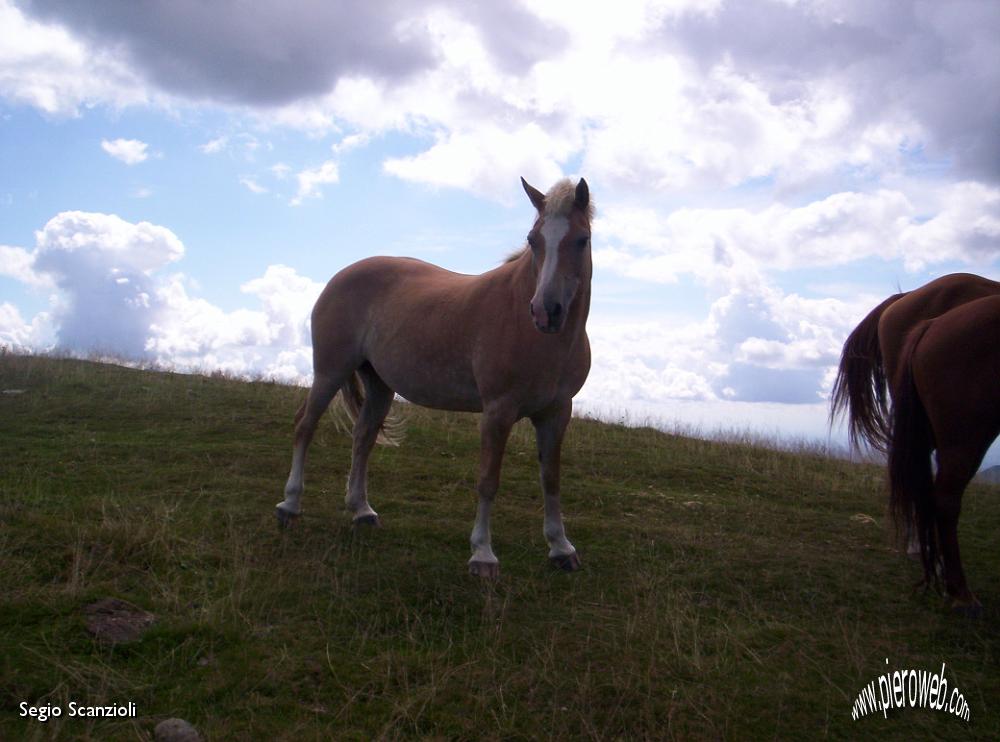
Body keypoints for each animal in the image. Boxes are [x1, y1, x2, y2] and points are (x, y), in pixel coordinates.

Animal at [274, 177, 592, 580]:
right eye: (534, 239)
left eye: (582, 239)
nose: (545, 311)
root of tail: (343, 275)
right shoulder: (498, 412)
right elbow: (488, 480)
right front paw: (482, 555)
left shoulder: (556, 413)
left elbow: (551, 479)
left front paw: (561, 548)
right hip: (330, 372)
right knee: (305, 426)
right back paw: (290, 505)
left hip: (379, 386)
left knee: (363, 438)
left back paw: (362, 511)